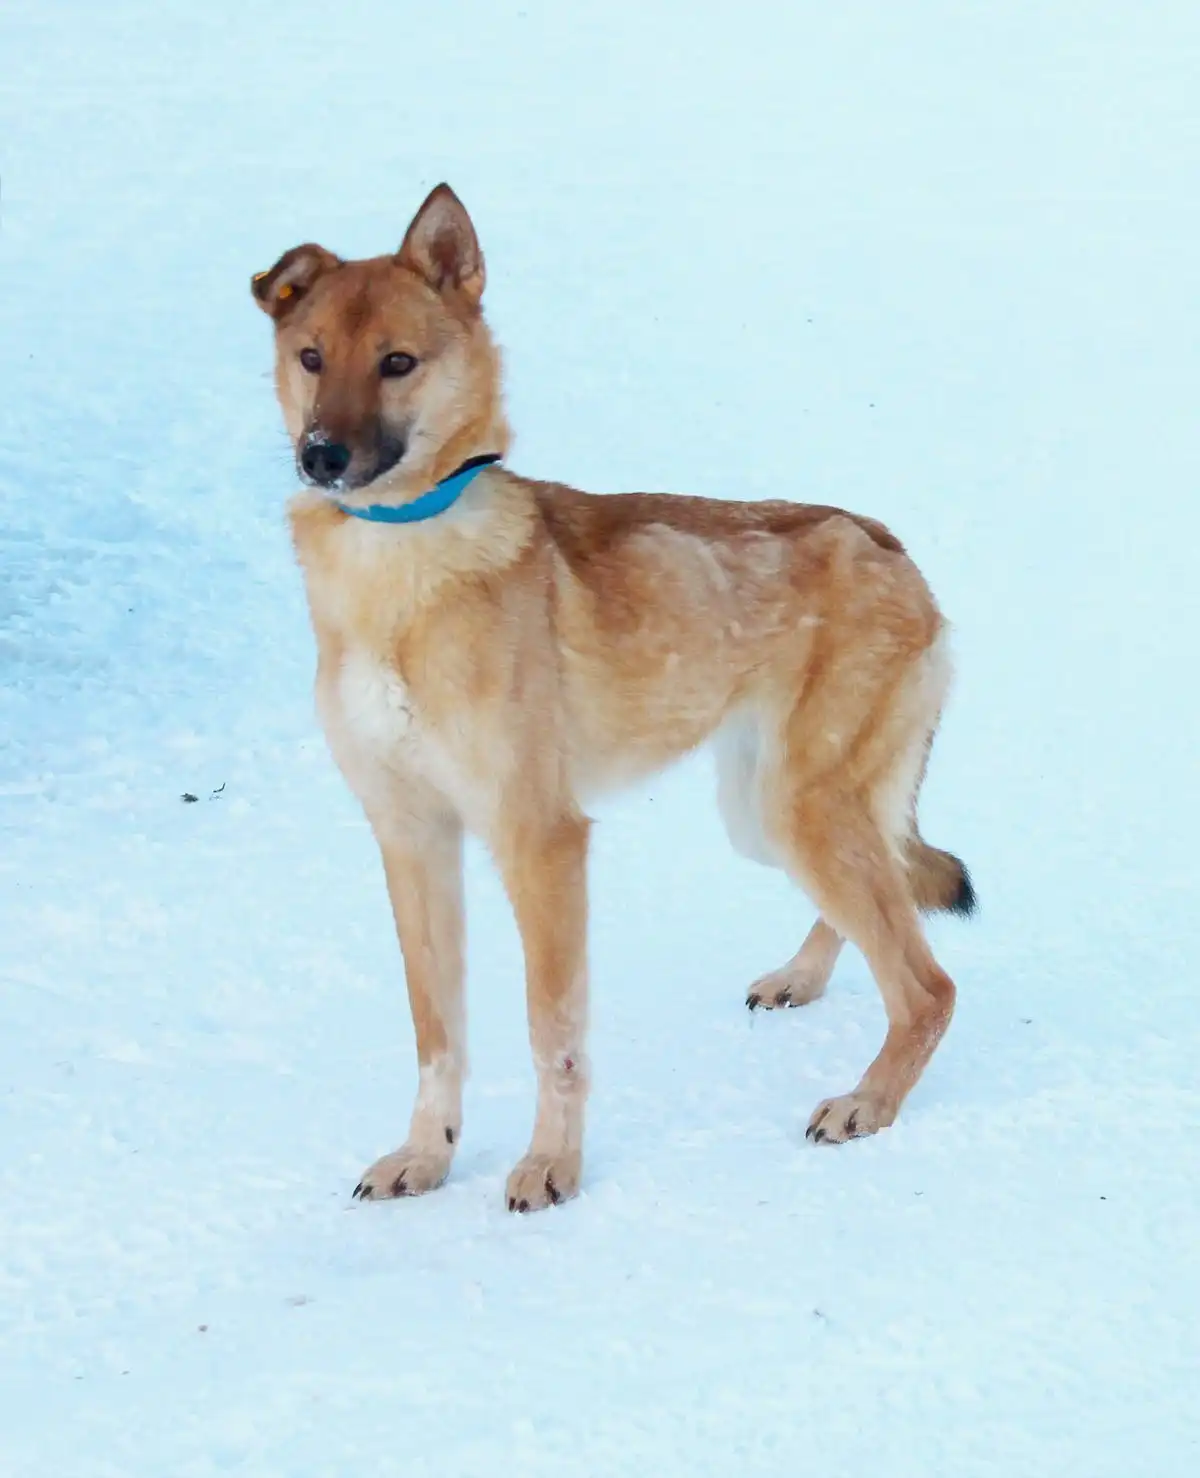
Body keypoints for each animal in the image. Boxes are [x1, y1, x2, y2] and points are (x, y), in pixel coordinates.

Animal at [251, 183, 975, 1213]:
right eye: (311, 357)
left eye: (398, 363)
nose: (321, 456)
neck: (402, 565)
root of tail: (890, 546)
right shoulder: (410, 838)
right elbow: (438, 1034)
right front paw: (428, 1156)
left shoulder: (540, 841)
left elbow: (551, 1032)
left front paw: (551, 1167)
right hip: (766, 814)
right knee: (881, 907)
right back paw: (802, 979)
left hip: (795, 810)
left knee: (925, 983)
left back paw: (866, 1104)